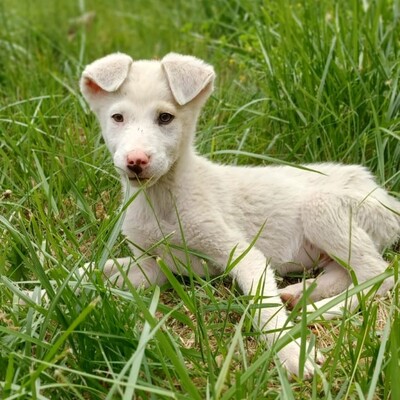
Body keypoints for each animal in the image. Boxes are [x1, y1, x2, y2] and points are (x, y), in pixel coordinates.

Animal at [79, 52, 400, 378]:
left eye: (165, 118)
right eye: (117, 118)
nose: (136, 161)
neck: (161, 201)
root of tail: (385, 195)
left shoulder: (243, 254)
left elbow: (264, 308)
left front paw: (292, 352)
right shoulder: (153, 264)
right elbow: (97, 271)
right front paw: (66, 284)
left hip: (321, 207)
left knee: (380, 274)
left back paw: (320, 310)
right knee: (346, 272)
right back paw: (301, 295)